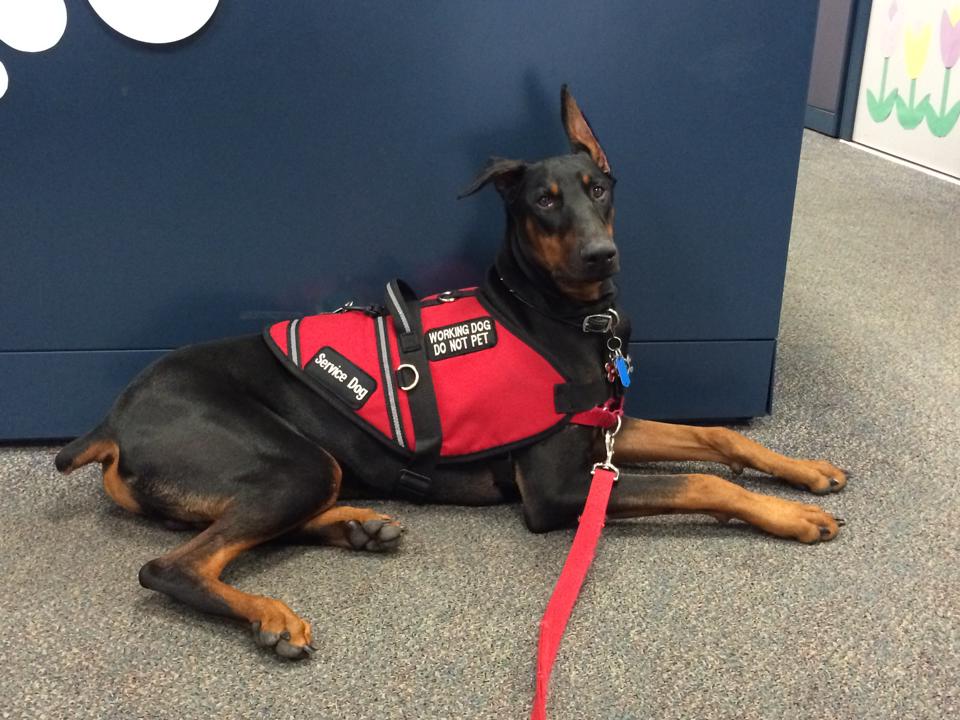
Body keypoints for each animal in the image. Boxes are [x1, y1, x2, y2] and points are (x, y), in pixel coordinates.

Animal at [56, 86, 844, 660]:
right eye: (544, 201)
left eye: (598, 187)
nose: (602, 255)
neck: (566, 318)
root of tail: (110, 421)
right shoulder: (556, 490)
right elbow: (702, 482)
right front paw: (793, 515)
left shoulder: (604, 425)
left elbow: (721, 439)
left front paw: (807, 472)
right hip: (288, 460)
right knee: (174, 566)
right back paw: (272, 615)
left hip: (300, 471)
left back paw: (359, 528)